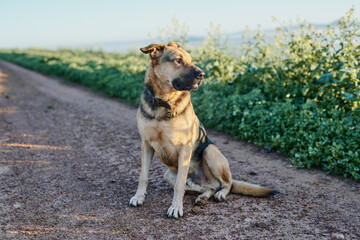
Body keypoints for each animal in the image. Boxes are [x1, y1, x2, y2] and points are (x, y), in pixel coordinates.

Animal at [129, 42, 278, 218]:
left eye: (190, 59)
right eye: (178, 60)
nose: (203, 74)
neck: (165, 103)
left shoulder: (184, 148)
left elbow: (179, 185)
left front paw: (176, 207)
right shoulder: (146, 145)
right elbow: (143, 176)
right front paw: (139, 197)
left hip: (210, 151)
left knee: (226, 184)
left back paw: (220, 194)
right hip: (169, 175)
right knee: (208, 187)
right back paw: (202, 198)